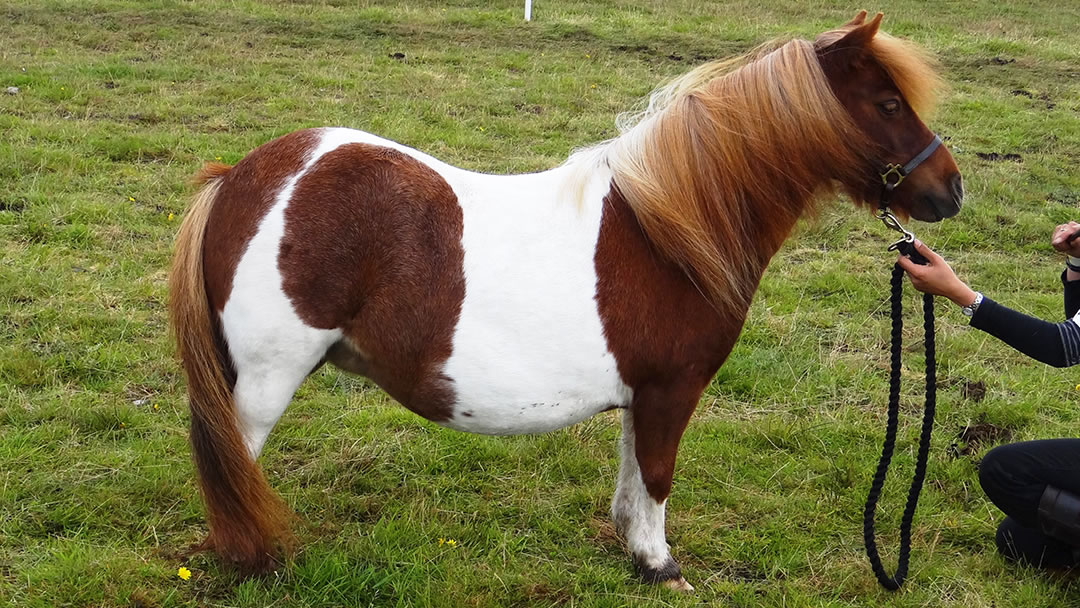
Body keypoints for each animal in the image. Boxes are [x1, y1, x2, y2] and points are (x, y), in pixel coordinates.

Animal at [168, 11, 963, 591]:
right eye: (888, 102)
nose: (950, 190)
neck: (667, 231)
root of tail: (242, 175)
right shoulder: (671, 391)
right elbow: (658, 476)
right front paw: (662, 567)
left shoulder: (643, 393)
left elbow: (632, 476)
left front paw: (635, 552)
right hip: (267, 379)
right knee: (234, 465)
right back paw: (249, 558)